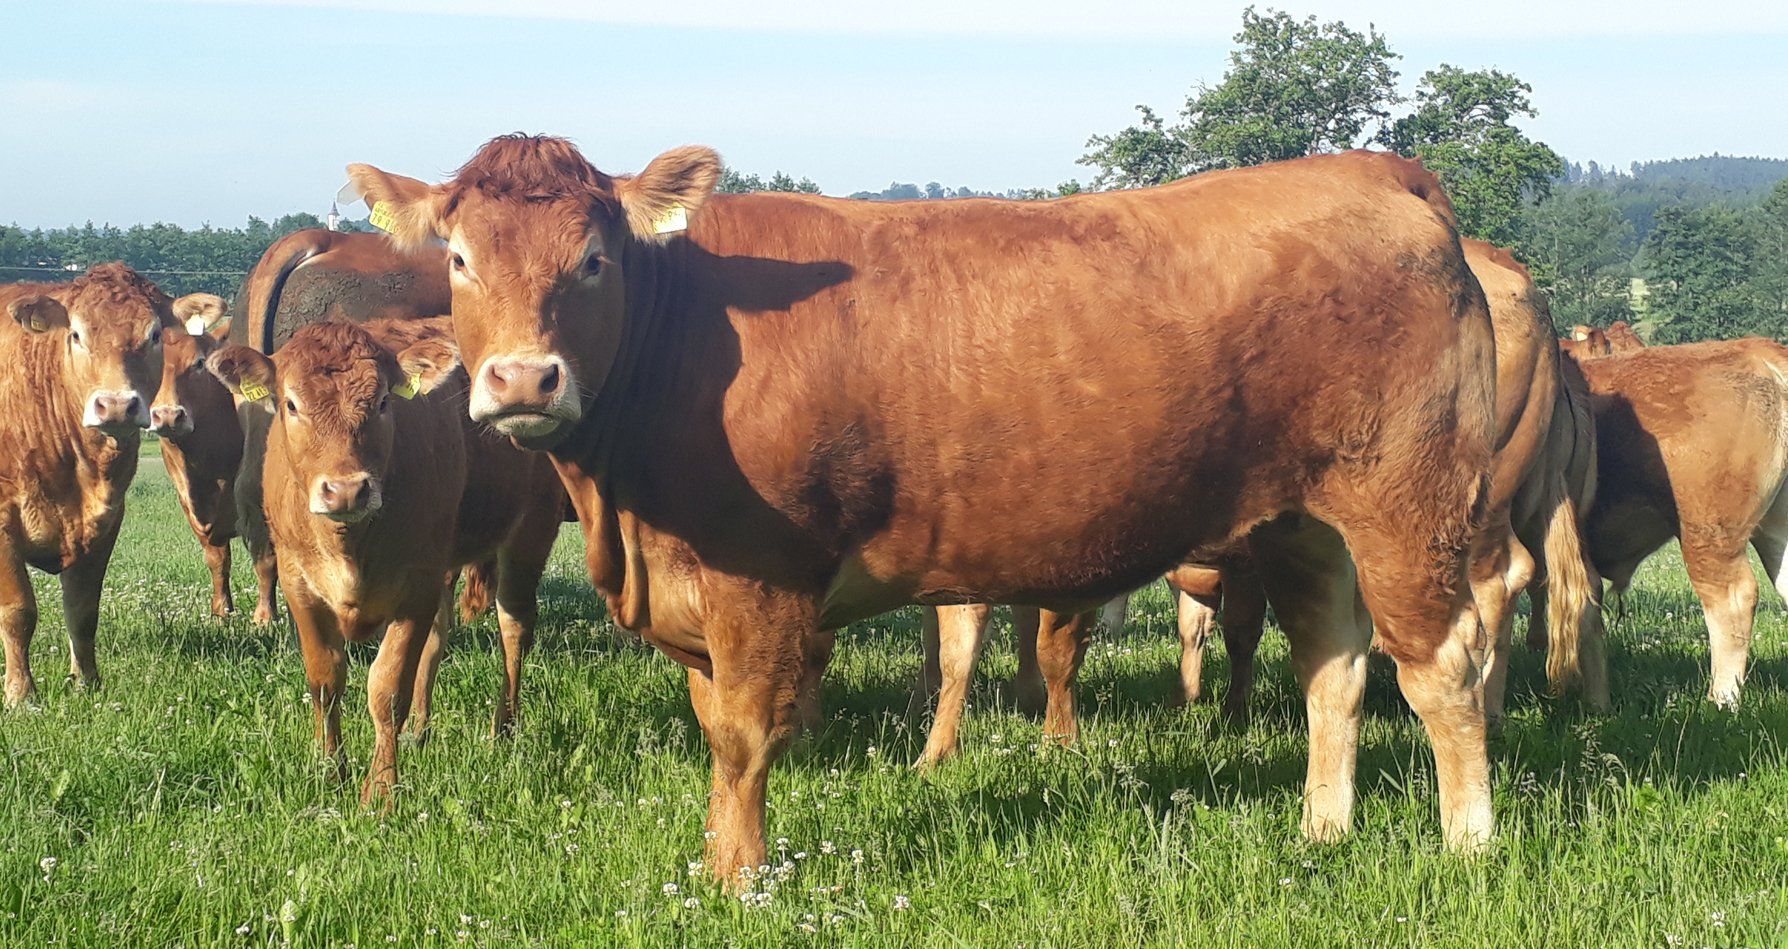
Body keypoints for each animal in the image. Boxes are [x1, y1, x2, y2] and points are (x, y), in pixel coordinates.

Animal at [1, 263, 171, 706]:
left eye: (155, 335)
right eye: (76, 334)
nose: (116, 406)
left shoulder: (106, 518)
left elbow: (82, 608)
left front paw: (87, 682)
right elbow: (18, 610)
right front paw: (21, 694)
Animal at [207, 317, 563, 800]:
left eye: (381, 403)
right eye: (291, 404)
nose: (345, 490)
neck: (349, 545)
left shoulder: (415, 587)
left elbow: (388, 689)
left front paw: (380, 790)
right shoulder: (300, 585)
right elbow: (325, 681)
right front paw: (331, 770)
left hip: (530, 531)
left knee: (514, 628)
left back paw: (502, 729)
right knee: (439, 637)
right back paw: (420, 730)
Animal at [346, 135, 1499, 880]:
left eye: (592, 259)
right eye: (460, 259)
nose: (523, 380)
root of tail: (1372, 169)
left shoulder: (758, 581)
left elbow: (744, 736)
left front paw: (740, 878)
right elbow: (715, 727)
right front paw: (719, 860)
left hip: (1407, 503)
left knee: (1443, 666)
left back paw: (1468, 843)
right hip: (1309, 523)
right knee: (1335, 665)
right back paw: (1322, 831)